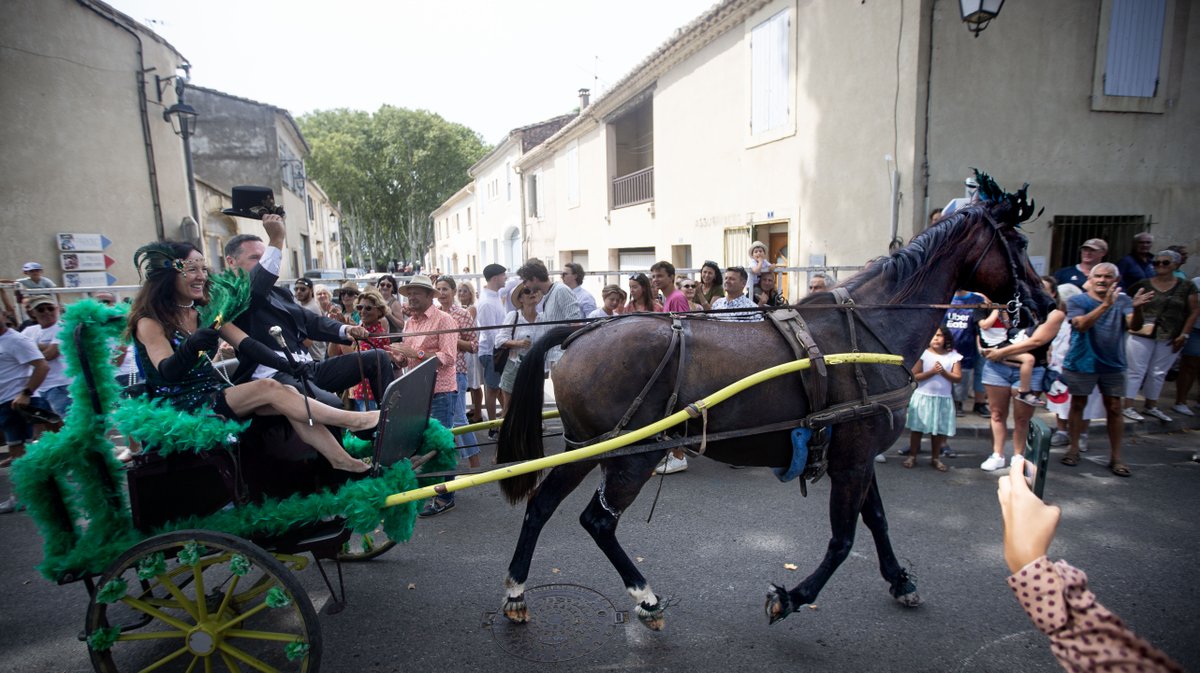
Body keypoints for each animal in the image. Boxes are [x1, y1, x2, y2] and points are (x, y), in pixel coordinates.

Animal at [492, 182, 1046, 623]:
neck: (871, 328)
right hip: (632, 456)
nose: (1045, 304)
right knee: (598, 521)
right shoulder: (853, 460)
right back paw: (644, 597)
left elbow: (877, 521)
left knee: (542, 506)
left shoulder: (857, 455)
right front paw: (791, 597)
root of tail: (579, 332)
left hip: (587, 449)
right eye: (1018, 242)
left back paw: (517, 591)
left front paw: (900, 580)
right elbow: (844, 540)